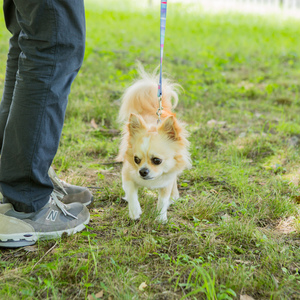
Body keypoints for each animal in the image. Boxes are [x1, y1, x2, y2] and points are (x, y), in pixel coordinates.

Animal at [116, 68, 191, 223]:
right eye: (136, 160)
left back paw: (174, 195)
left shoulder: (167, 182)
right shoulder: (127, 174)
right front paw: (134, 211)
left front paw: (161, 217)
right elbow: (131, 191)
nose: (142, 171)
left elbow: (163, 199)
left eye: (157, 160)